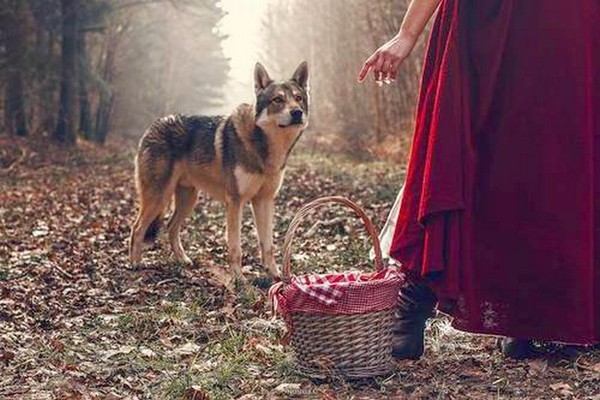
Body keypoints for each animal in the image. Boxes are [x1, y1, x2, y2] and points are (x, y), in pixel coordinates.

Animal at [127, 61, 310, 278]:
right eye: (278, 99)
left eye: (298, 98)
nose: (297, 112)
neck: (265, 147)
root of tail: (153, 125)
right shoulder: (235, 201)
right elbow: (235, 247)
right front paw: (239, 279)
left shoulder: (264, 200)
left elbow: (268, 245)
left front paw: (276, 275)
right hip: (159, 197)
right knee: (137, 228)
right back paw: (135, 264)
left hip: (188, 199)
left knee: (171, 227)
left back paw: (183, 260)